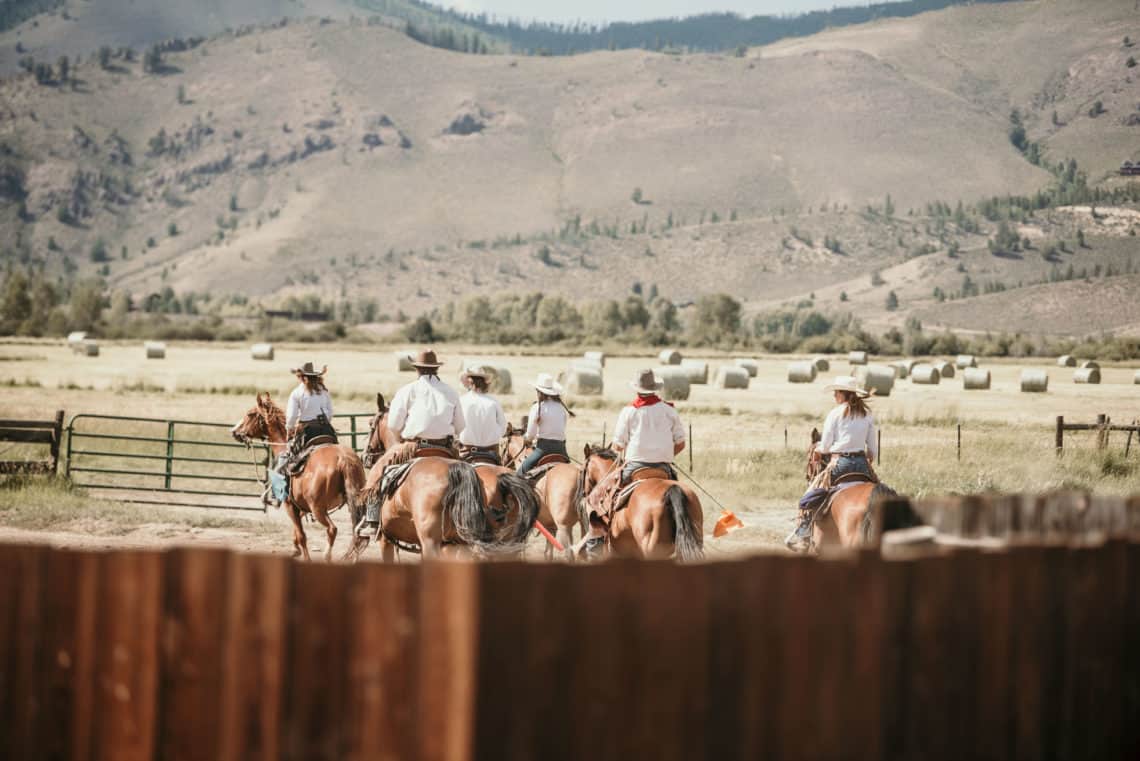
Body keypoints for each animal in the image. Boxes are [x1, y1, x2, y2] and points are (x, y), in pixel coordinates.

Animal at [233, 396, 367, 562]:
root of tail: (343, 459)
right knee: (359, 533)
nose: (235, 431)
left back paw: (327, 555)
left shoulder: (290, 505)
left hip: (318, 508)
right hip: (355, 503)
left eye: (250, 414)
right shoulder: (301, 506)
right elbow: (297, 532)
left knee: (332, 529)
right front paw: (295, 549)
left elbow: (302, 535)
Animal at [501, 426, 588, 562]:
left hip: (564, 527)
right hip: (584, 524)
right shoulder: (550, 525)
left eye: (502, 445)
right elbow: (548, 552)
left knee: (569, 553)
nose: (503, 462)